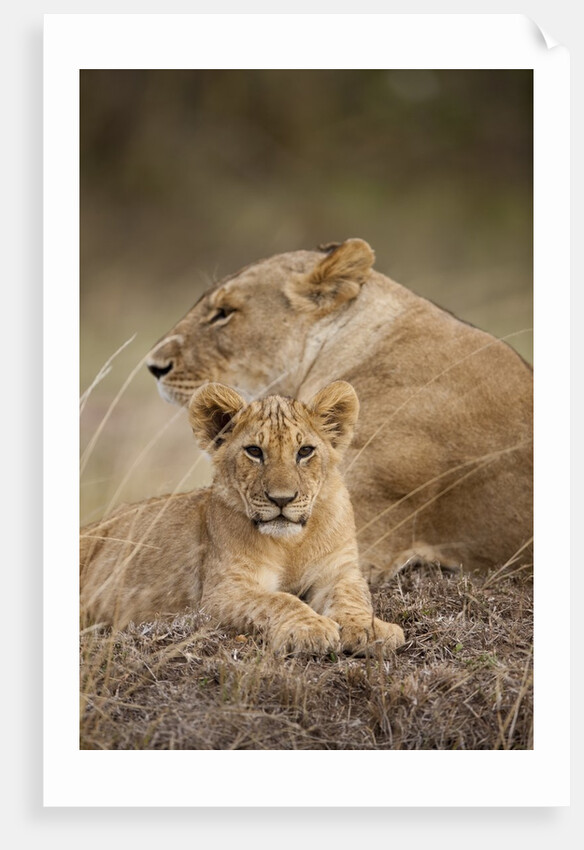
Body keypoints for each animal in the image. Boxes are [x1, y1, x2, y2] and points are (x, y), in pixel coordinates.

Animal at [80, 380, 405, 656]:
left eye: (304, 451)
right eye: (254, 451)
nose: (282, 499)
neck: (291, 544)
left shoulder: (340, 570)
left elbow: (353, 596)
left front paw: (369, 628)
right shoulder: (220, 595)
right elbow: (277, 600)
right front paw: (310, 628)